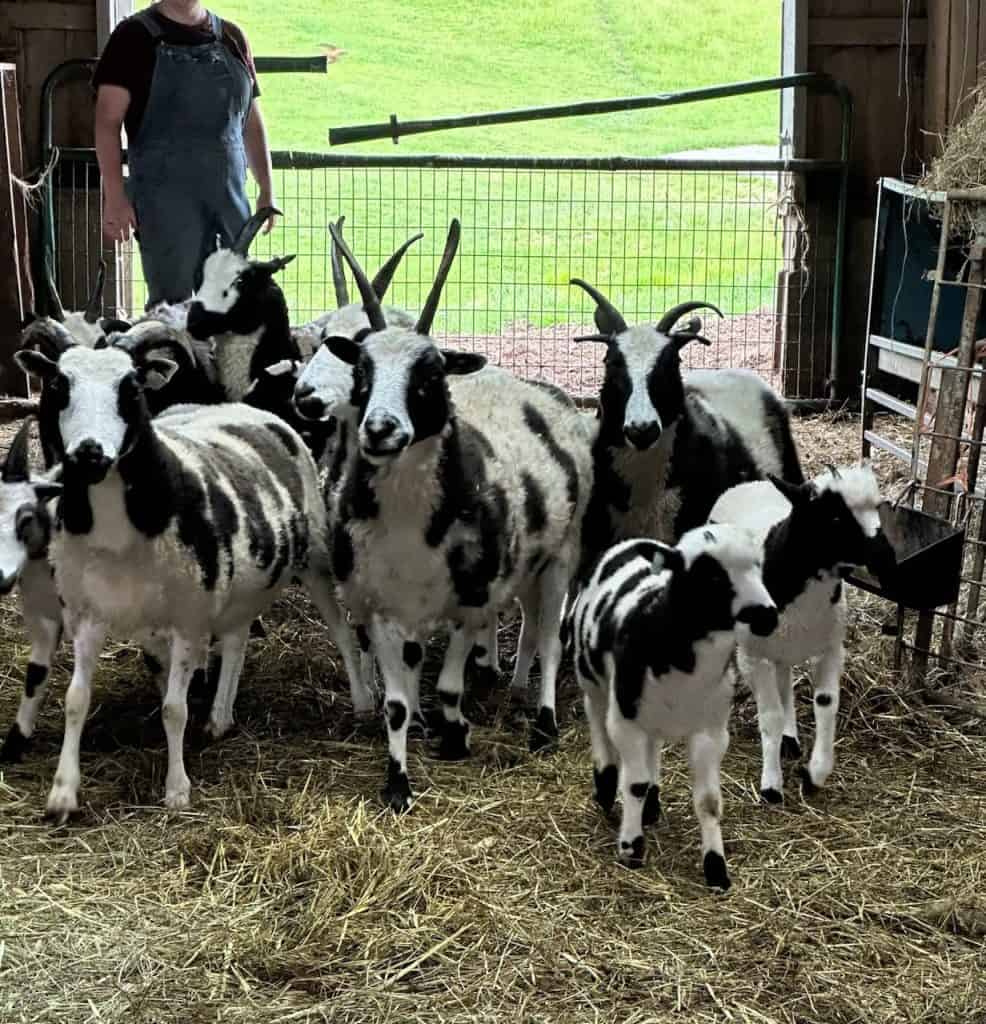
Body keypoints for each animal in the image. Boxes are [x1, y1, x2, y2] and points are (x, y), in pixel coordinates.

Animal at [14, 339, 369, 821]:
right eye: (57, 384)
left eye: (131, 387)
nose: (89, 453)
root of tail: (249, 408)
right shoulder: (87, 614)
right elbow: (75, 700)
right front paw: (63, 793)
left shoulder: (188, 616)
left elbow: (174, 709)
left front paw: (177, 789)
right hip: (241, 582)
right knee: (237, 638)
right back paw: (220, 717)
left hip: (312, 556)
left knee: (340, 631)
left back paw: (363, 702)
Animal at [324, 218, 595, 812]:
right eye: (361, 369)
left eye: (430, 374)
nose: (380, 430)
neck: (408, 526)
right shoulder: (380, 604)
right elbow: (396, 702)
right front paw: (398, 781)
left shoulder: (473, 595)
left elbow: (451, 684)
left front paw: (455, 735)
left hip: (561, 554)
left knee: (549, 637)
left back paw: (542, 722)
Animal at [566, 526, 777, 887]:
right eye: (711, 575)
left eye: (759, 565)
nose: (767, 615)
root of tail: (635, 542)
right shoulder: (626, 722)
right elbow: (633, 784)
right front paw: (631, 849)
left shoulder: (711, 732)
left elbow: (709, 802)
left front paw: (716, 868)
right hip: (592, 680)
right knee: (596, 718)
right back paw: (606, 784)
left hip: (654, 717)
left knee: (652, 749)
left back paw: (651, 805)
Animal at [708, 465, 895, 802]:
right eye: (834, 517)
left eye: (877, 508)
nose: (886, 559)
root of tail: (747, 484)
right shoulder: (754, 655)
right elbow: (769, 716)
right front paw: (771, 785)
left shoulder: (831, 648)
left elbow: (826, 704)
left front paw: (816, 774)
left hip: (787, 646)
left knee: (785, 682)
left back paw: (790, 739)